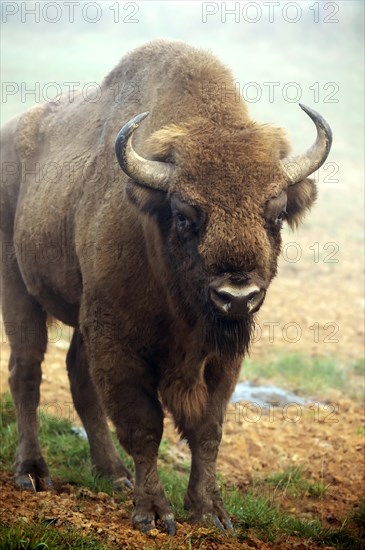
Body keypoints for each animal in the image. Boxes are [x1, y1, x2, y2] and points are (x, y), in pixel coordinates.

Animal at [0, 41, 330, 536]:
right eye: (184, 214)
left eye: (275, 214)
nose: (236, 298)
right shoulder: (118, 342)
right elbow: (144, 425)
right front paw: (154, 512)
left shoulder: (221, 357)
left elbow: (208, 428)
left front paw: (211, 511)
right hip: (17, 287)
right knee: (27, 372)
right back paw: (34, 473)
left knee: (77, 375)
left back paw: (112, 474)